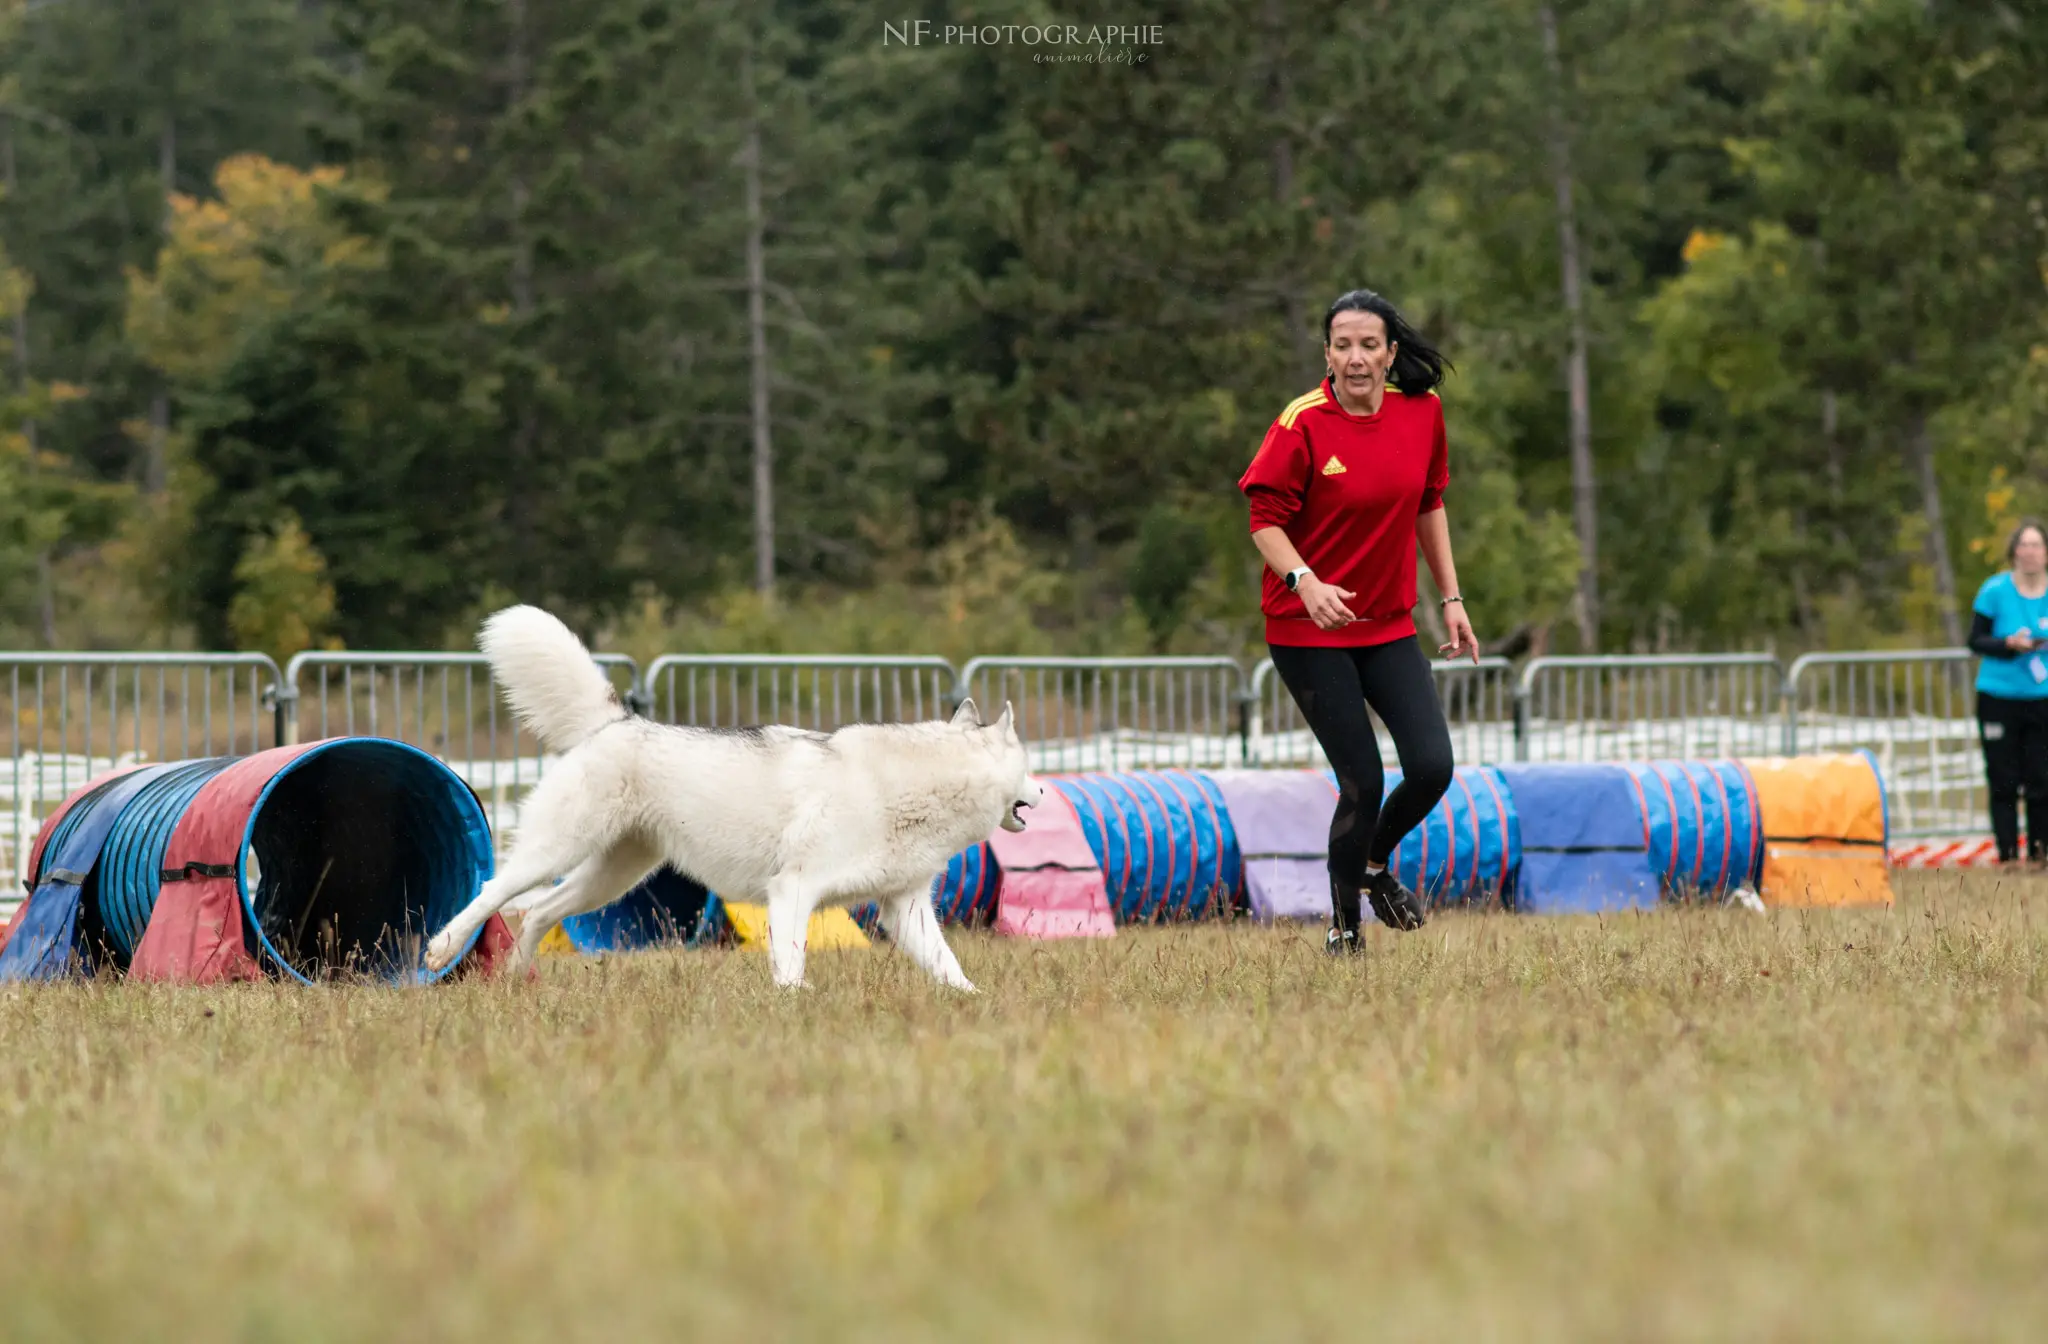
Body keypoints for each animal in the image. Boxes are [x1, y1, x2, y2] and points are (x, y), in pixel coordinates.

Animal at [425, 610, 1048, 987]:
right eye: (1030, 768)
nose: (1045, 788)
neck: (919, 789)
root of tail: (618, 721)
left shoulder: (906, 907)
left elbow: (949, 967)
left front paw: (973, 1003)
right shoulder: (793, 889)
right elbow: (790, 962)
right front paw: (794, 1003)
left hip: (610, 877)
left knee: (538, 912)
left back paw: (516, 979)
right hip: (556, 851)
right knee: (492, 892)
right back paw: (441, 949)